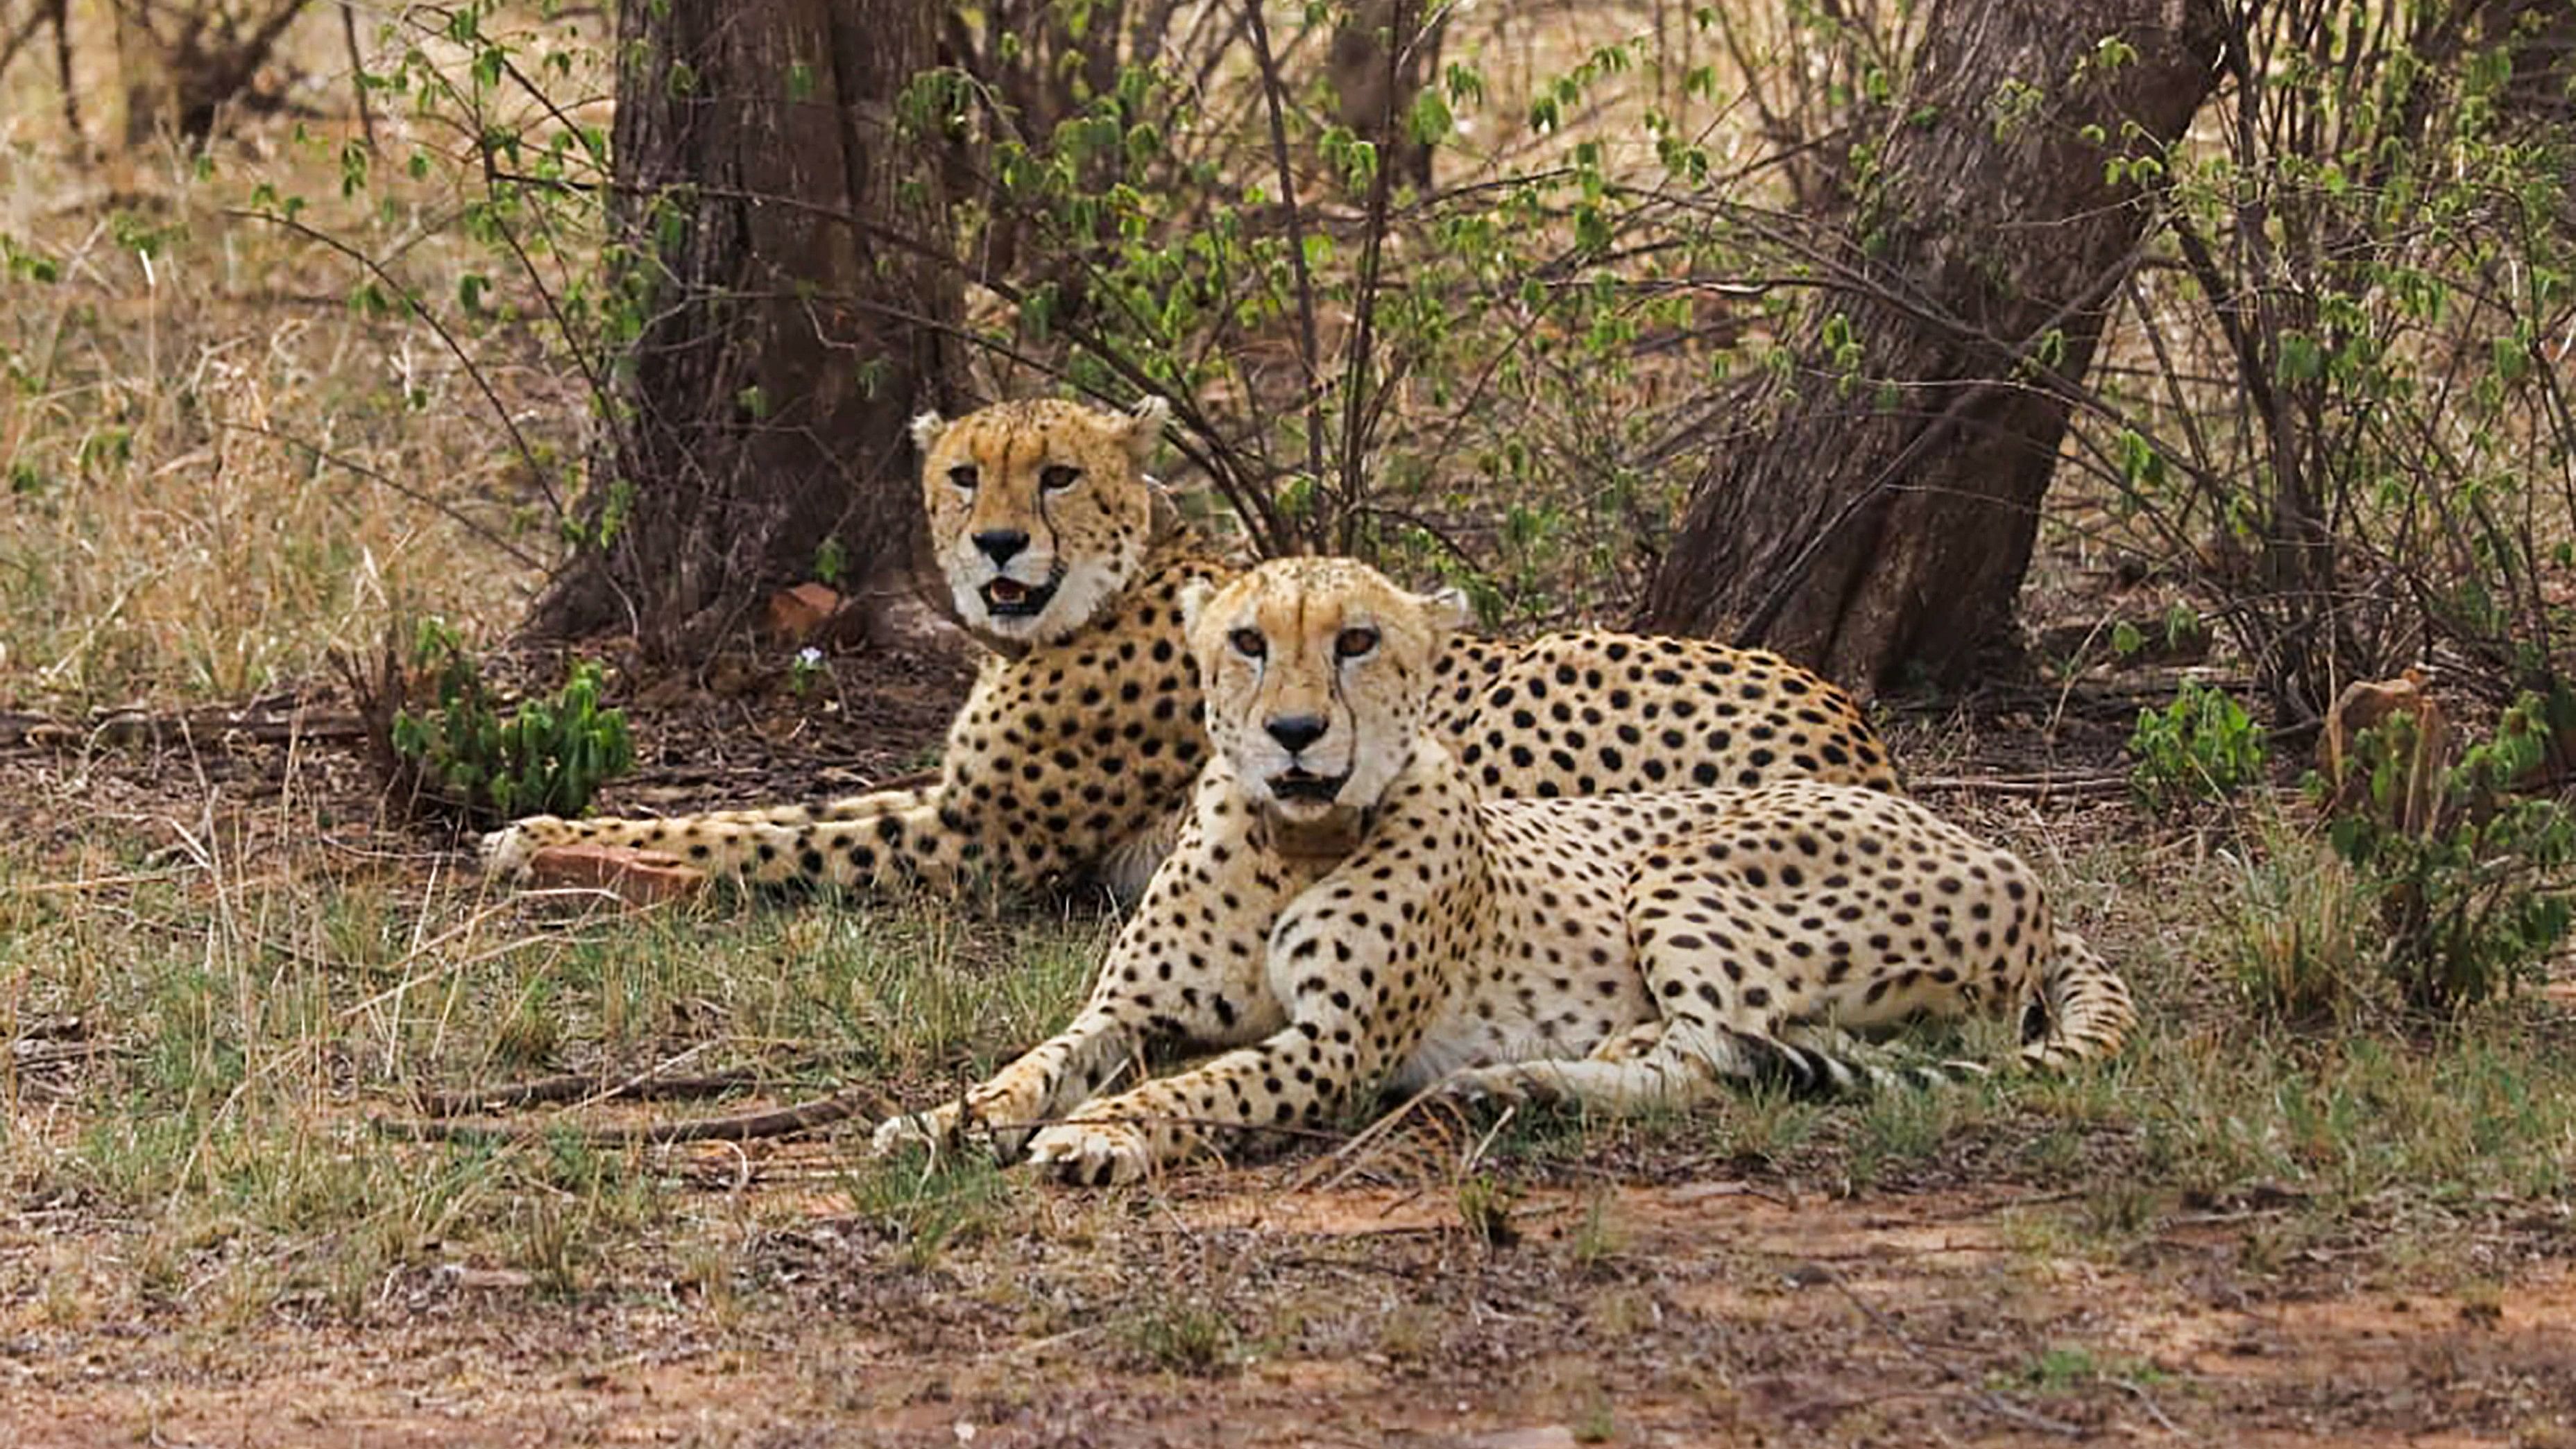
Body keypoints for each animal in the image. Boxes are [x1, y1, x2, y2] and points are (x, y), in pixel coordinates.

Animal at [484, 396, 1906, 906]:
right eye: (964, 474)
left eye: (1056, 474)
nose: (996, 545)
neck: (1094, 601)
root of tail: (1855, 728)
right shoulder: (952, 799)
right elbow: (767, 806)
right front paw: (549, 826)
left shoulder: (982, 842)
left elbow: (762, 838)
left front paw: (561, 850)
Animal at [876, 560, 2143, 1183]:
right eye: (1246, 640)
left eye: (1356, 640)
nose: (1293, 733)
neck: (1292, 839)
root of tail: (2001, 854)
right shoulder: (1129, 1009)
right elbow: (1036, 1062)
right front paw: (945, 1120)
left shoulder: (1332, 1046)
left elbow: (1202, 1086)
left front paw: (1101, 1134)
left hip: (1681, 866)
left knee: (1712, 1056)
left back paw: (1527, 1080)